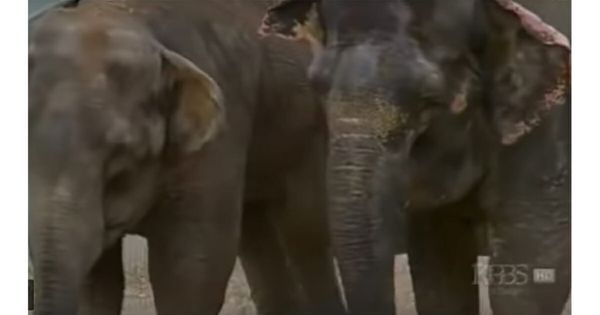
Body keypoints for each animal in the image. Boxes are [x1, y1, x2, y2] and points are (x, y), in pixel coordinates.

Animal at [28, 0, 344, 315]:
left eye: (121, 151)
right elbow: (97, 280)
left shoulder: (218, 138)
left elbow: (191, 267)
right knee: (258, 234)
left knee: (304, 230)